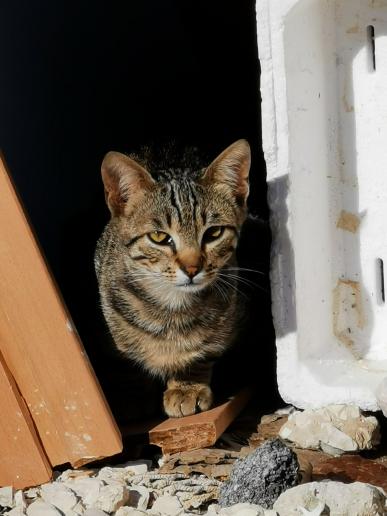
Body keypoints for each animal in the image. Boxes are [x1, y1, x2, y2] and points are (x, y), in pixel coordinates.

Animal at [94, 139, 252, 418]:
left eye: (214, 233)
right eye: (158, 237)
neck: (171, 308)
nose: (192, 268)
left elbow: (204, 349)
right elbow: (126, 360)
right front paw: (133, 394)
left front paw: (187, 385)